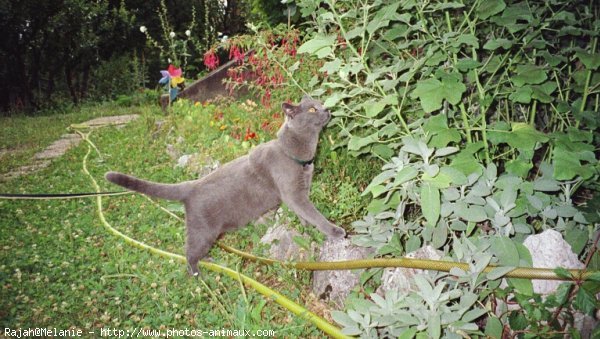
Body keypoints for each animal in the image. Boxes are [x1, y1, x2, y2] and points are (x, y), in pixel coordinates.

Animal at [105, 96, 344, 276]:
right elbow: (315, 214)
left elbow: (305, 216)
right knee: (188, 251)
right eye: (312, 109)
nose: (327, 108)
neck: (301, 155)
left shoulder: (300, 193)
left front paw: (307, 230)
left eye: (320, 103)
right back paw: (197, 273)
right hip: (203, 232)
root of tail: (190, 185)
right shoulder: (294, 194)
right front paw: (334, 231)